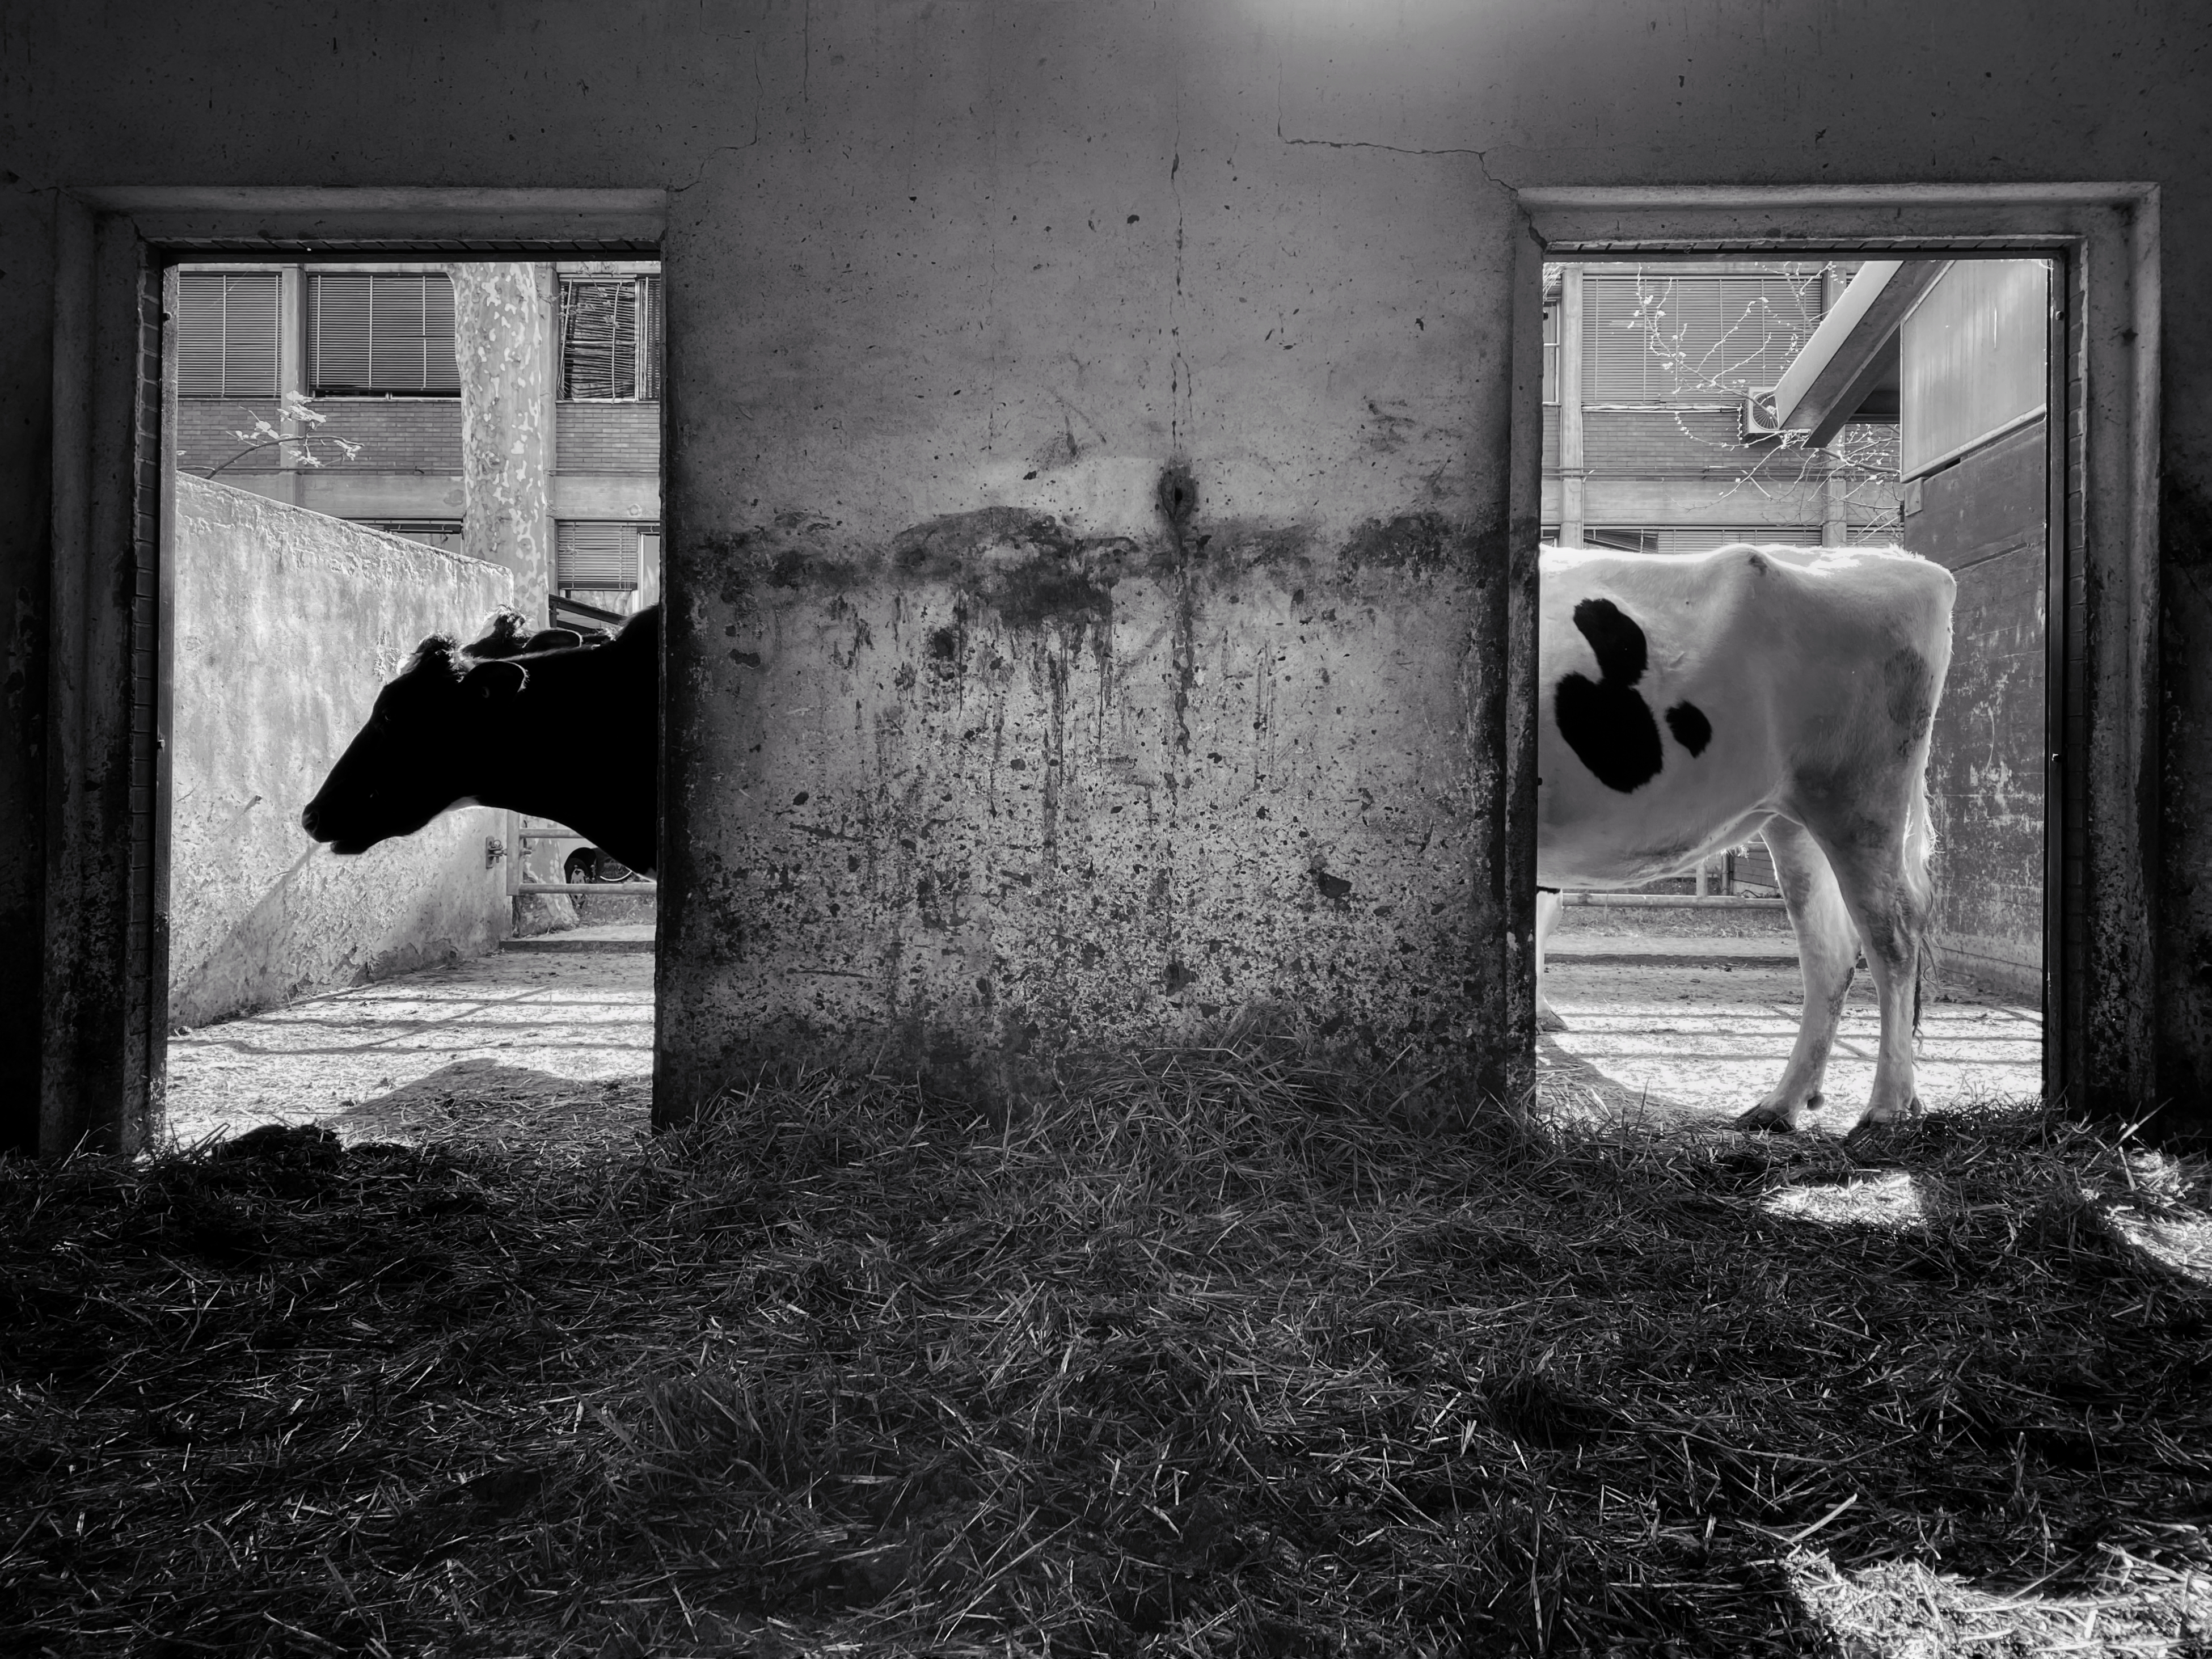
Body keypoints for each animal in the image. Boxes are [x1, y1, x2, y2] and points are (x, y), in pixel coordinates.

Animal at [1539, 539, 1955, 1141]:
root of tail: (1907, 562)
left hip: (1860, 801)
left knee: (1892, 934)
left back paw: (1885, 1109)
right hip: (1796, 818)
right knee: (1830, 952)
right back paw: (1781, 1104)